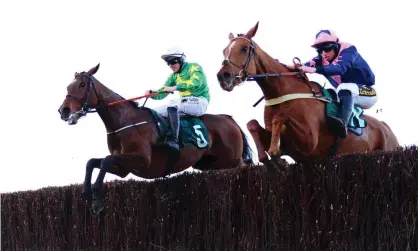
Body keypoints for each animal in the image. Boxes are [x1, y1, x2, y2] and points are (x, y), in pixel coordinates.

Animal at [58, 63, 255, 214]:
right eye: (68, 87)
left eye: (82, 85)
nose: (64, 110)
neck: (124, 121)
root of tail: (229, 119)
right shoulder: (123, 168)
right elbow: (92, 162)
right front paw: (87, 193)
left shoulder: (142, 159)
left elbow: (106, 160)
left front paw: (97, 200)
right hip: (210, 165)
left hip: (230, 160)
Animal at [217, 21, 400, 171]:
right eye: (224, 50)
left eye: (244, 48)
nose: (223, 76)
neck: (282, 91)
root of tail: (387, 128)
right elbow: (252, 125)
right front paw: (272, 160)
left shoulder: (310, 142)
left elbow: (280, 119)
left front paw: (277, 157)